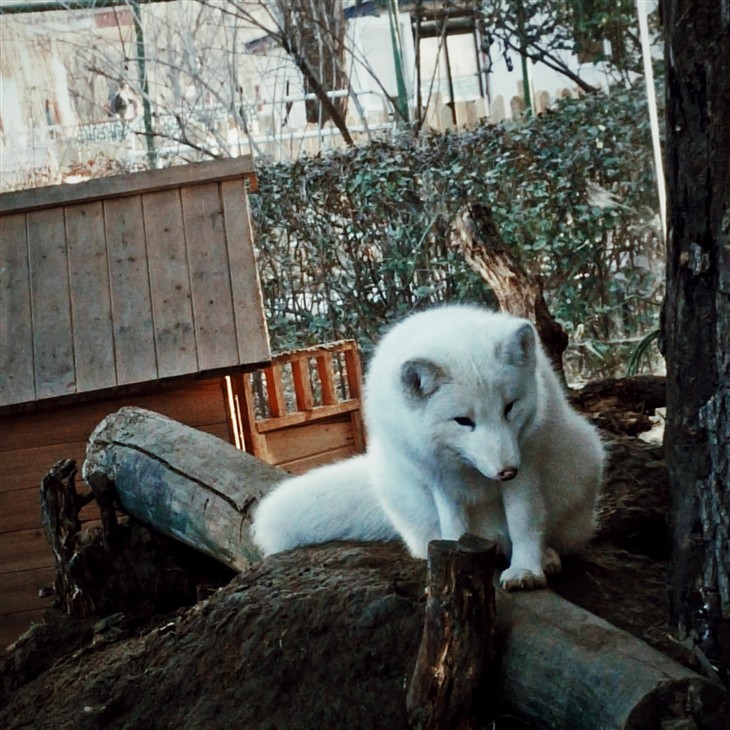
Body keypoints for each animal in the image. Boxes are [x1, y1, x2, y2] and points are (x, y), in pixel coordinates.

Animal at [250, 304, 604, 588]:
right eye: (463, 421)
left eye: (510, 407)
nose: (506, 471)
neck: (471, 471)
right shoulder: (438, 476)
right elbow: (453, 526)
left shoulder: (526, 463)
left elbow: (524, 522)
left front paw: (526, 570)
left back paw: (546, 556)